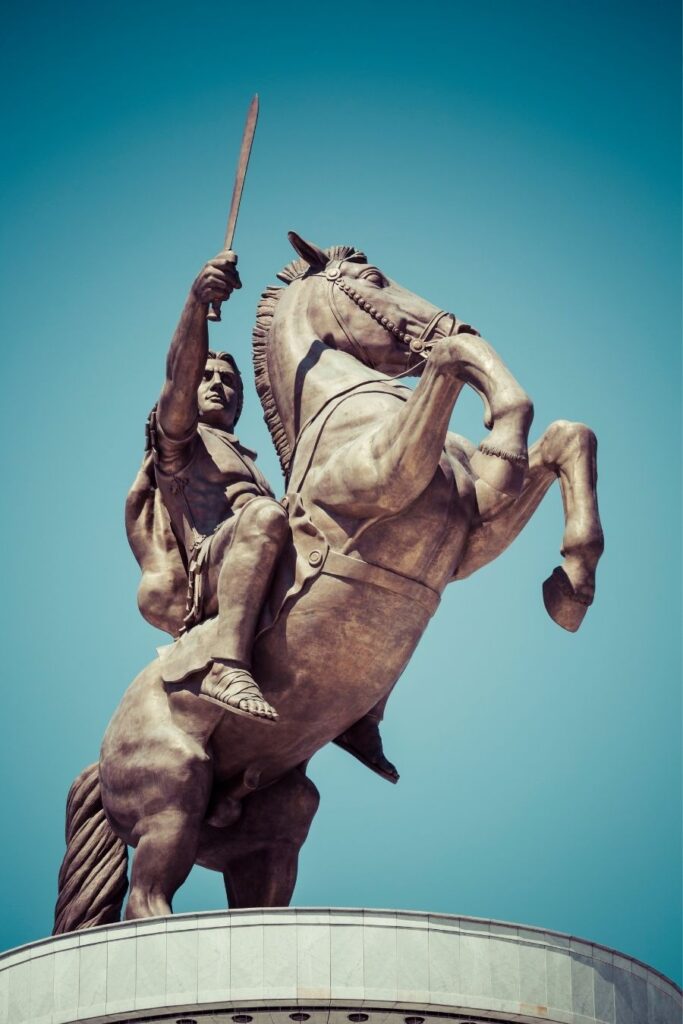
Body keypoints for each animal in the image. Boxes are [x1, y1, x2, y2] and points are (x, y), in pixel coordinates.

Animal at [56, 234, 606, 937]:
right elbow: (456, 367)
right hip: (171, 792)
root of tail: (100, 763)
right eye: (373, 278)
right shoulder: (384, 476)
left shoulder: (473, 530)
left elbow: (570, 436)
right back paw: (233, 687)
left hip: (276, 819)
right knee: (146, 900)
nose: (453, 322)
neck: (347, 408)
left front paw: (572, 583)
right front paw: (504, 422)